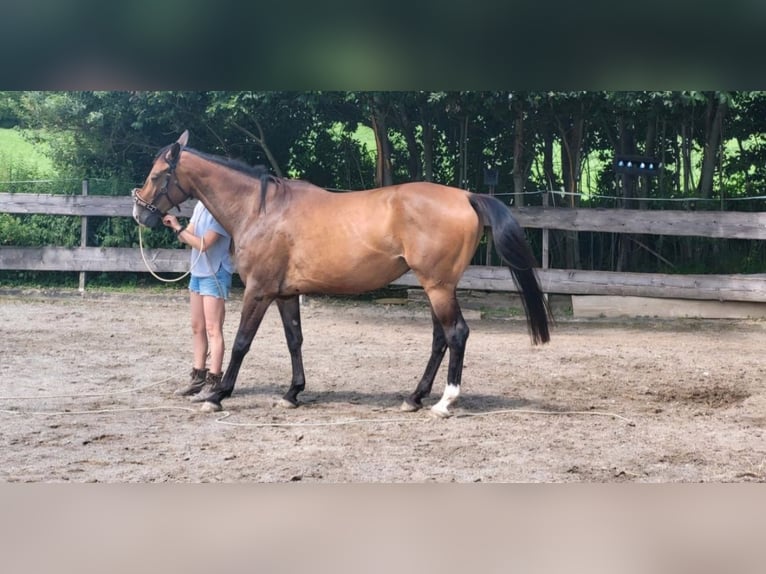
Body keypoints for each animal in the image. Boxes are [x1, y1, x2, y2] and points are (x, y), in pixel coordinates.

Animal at [134, 131, 552, 418]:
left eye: (157, 174)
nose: (139, 212)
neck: (261, 210)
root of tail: (464, 196)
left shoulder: (259, 290)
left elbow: (240, 342)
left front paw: (217, 395)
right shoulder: (285, 293)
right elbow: (295, 341)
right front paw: (292, 393)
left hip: (438, 287)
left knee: (456, 334)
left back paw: (444, 403)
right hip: (438, 287)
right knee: (440, 340)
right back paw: (414, 397)